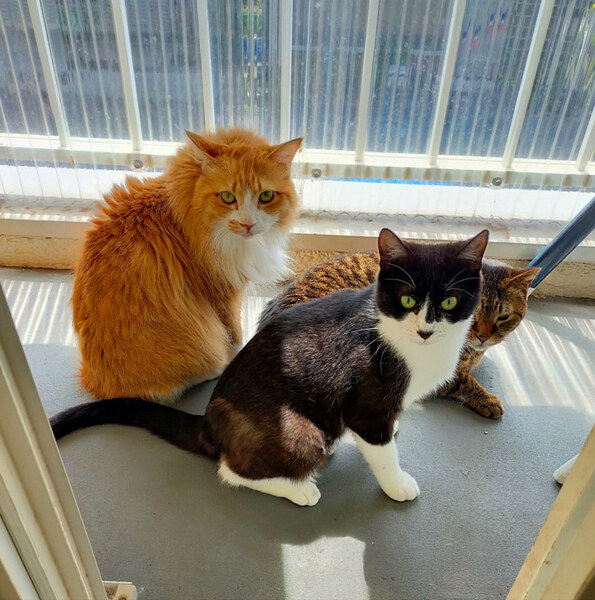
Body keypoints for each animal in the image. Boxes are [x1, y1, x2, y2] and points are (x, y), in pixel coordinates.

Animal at [53, 228, 488, 506]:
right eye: (408, 300)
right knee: (231, 471)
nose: (426, 329)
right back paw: (299, 489)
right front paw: (397, 483)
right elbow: (381, 451)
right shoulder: (366, 401)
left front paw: (395, 431)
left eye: (449, 302)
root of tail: (208, 424)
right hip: (300, 431)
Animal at [72, 128, 302, 402]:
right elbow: (234, 336)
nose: (247, 224)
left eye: (266, 196)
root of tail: (94, 383)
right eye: (227, 197)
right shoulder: (224, 294)